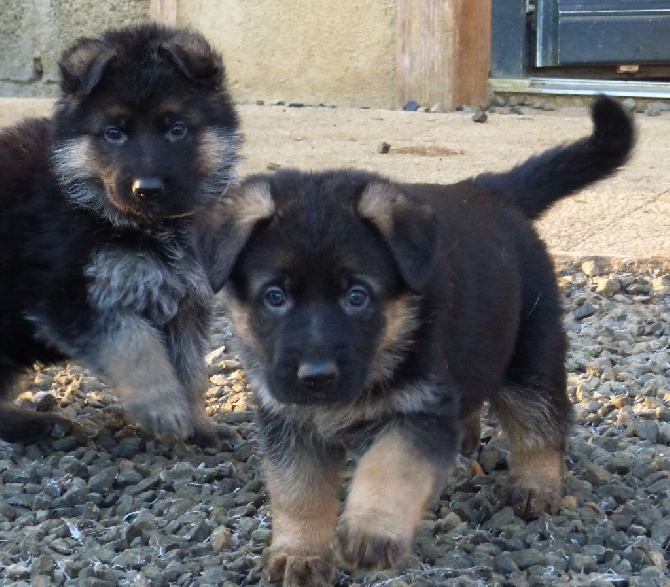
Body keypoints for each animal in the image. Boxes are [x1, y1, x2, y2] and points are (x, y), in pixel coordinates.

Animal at [0, 24, 240, 446]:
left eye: (176, 129)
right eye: (114, 133)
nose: (146, 189)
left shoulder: (184, 298)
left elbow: (191, 368)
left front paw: (198, 424)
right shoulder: (70, 295)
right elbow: (135, 345)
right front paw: (163, 408)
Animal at [198, 96, 636, 584]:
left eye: (357, 296)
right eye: (275, 297)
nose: (316, 377)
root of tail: (488, 190)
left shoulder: (420, 410)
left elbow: (392, 466)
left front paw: (370, 532)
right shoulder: (291, 420)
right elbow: (298, 491)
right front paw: (300, 553)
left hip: (528, 351)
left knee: (543, 417)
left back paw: (535, 483)